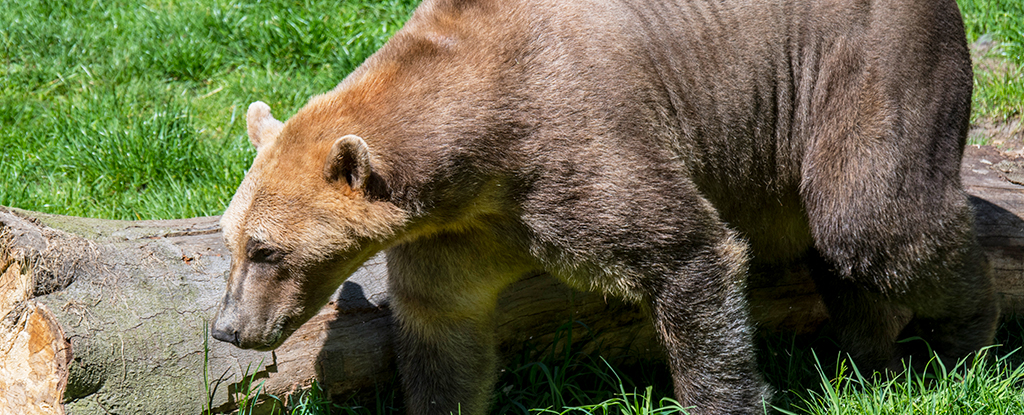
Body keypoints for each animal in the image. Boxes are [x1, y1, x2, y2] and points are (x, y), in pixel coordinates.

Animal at [209, 0, 999, 411]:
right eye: (231, 241)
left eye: (267, 249)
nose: (229, 328)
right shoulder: (464, 229)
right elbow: (443, 328)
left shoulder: (578, 145)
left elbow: (687, 254)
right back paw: (868, 356)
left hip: (865, 65)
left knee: (875, 221)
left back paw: (965, 340)